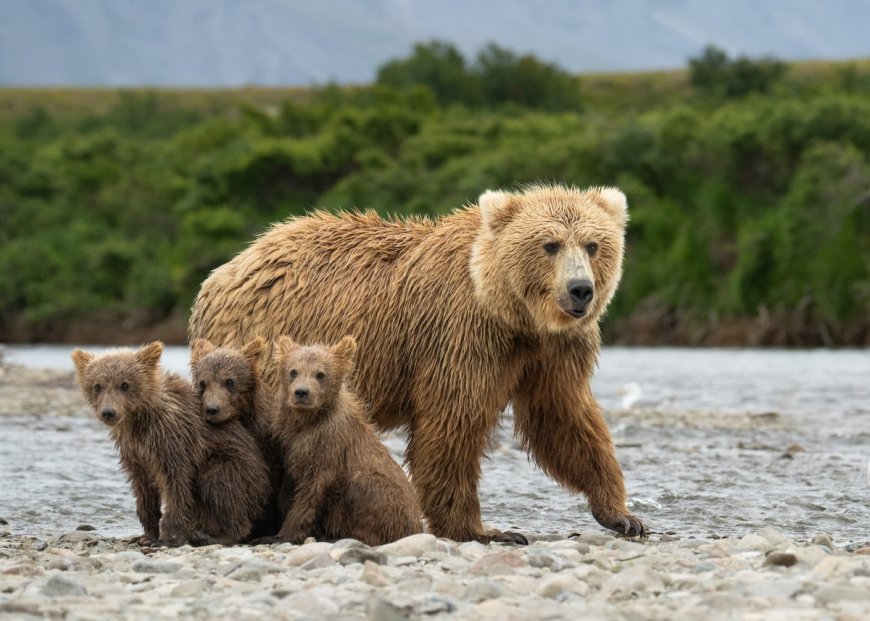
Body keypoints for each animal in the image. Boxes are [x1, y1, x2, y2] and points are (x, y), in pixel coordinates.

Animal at [71, 342, 204, 546]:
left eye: (125, 384)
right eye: (97, 386)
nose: (108, 412)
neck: (138, 421)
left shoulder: (172, 440)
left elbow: (176, 483)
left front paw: (168, 536)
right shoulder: (134, 451)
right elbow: (143, 488)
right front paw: (146, 534)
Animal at [269, 335, 424, 545]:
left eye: (320, 374)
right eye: (293, 371)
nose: (301, 392)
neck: (308, 422)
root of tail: (417, 527)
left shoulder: (329, 447)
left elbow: (311, 492)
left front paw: (283, 533)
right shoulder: (290, 446)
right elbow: (288, 486)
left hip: (391, 504)